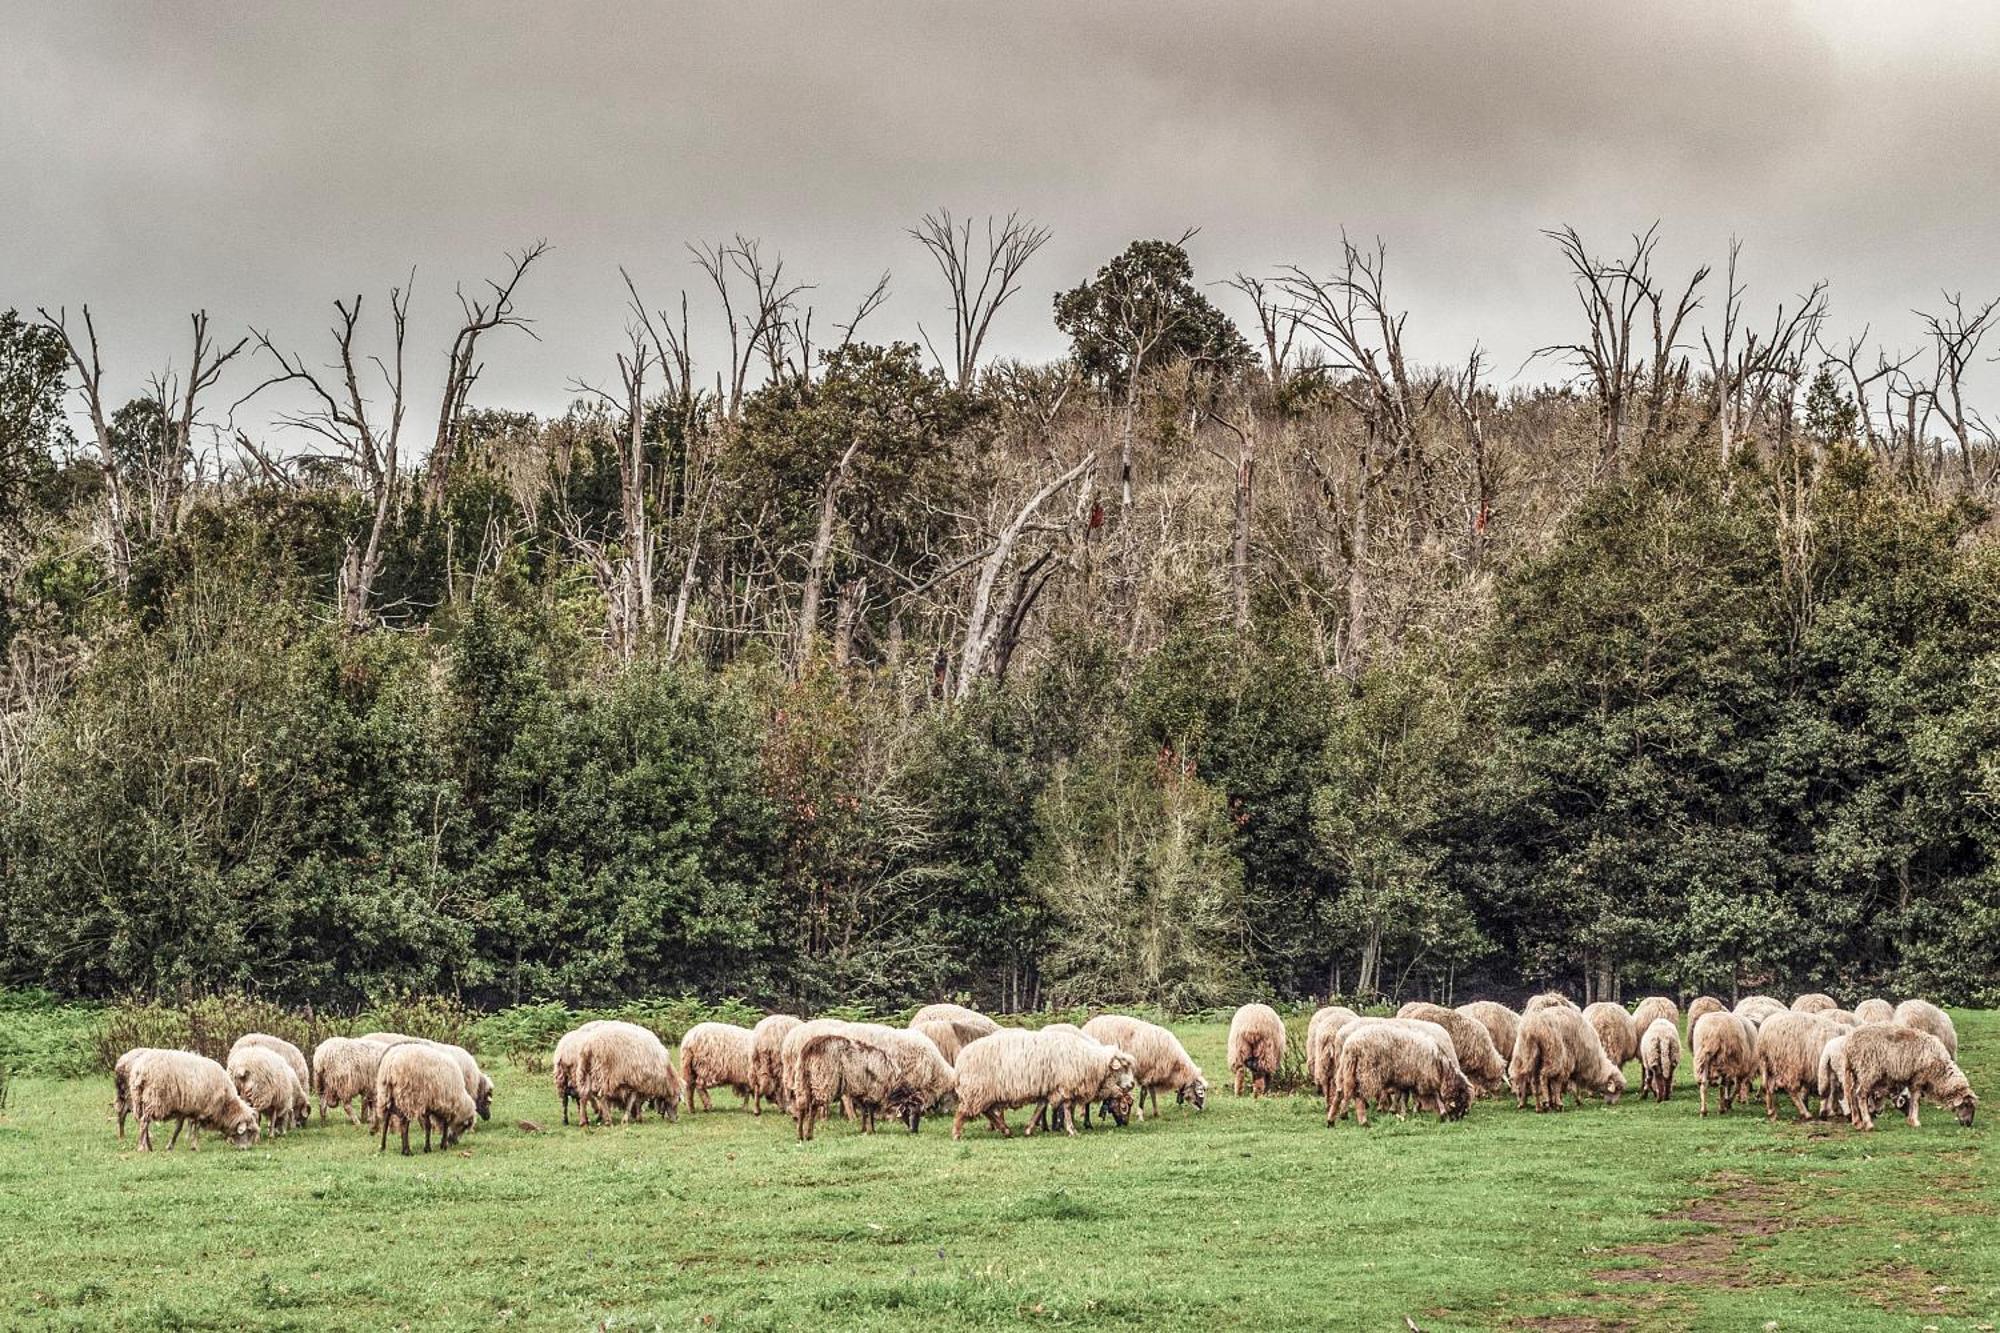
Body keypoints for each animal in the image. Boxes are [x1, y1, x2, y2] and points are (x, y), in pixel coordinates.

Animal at [125, 1040, 262, 1144]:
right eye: (249, 1131)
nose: (246, 1149)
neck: (225, 1104)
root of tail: (140, 1069)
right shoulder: (201, 1109)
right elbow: (195, 1127)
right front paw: (193, 1145)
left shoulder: (185, 1108)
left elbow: (179, 1128)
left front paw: (171, 1145)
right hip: (154, 1099)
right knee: (144, 1122)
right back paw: (144, 1147)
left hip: (138, 1098)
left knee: (142, 1121)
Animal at [956, 1020, 1144, 1136]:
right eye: (1124, 1067)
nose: (1131, 1084)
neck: (1091, 1060)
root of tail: (961, 1059)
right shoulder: (1066, 1085)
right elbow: (1066, 1107)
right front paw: (1070, 1129)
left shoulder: (1051, 1087)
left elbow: (1041, 1106)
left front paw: (1031, 1128)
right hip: (979, 1089)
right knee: (967, 1110)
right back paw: (958, 1133)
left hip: (984, 1092)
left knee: (986, 1110)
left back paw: (1005, 1130)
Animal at [1328, 1016, 1472, 1120]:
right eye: (1461, 1100)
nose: (1457, 1119)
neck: (1439, 1064)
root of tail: (1351, 1044)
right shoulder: (1422, 1075)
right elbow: (1434, 1094)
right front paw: (1441, 1113)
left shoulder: (1406, 1077)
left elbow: (1403, 1095)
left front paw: (1402, 1111)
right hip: (1367, 1071)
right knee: (1355, 1092)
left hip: (1346, 1068)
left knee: (1342, 1090)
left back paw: (1337, 1116)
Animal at [1832, 1020, 1976, 1128]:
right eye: (1966, 1104)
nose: (1968, 1124)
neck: (1940, 1072)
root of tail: (1850, 1043)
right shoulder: (1919, 1077)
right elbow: (1916, 1099)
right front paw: (1915, 1121)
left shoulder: (1912, 1079)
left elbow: (1913, 1098)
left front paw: (1911, 1120)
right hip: (1868, 1070)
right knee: (1860, 1094)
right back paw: (1868, 1123)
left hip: (1856, 1071)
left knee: (1851, 1094)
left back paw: (1857, 1122)